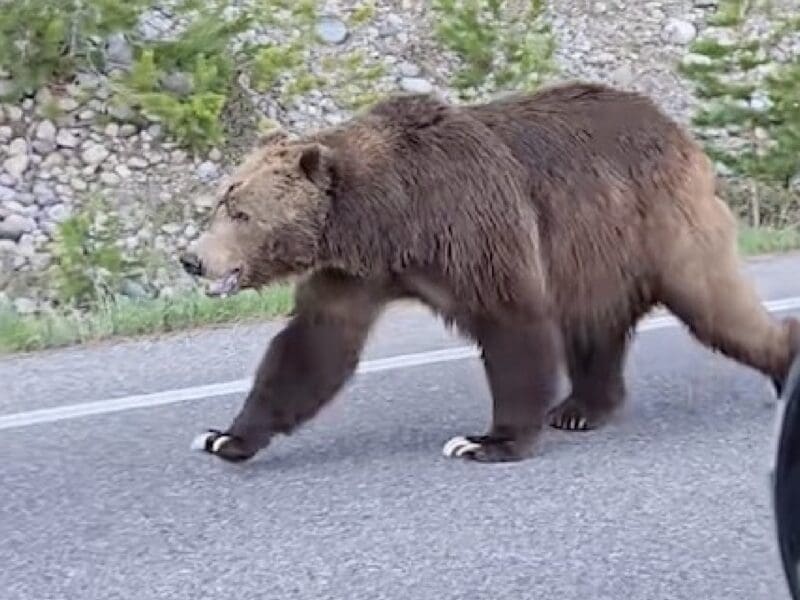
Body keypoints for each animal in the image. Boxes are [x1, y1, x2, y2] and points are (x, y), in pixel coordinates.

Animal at [180, 80, 800, 465]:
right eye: (221, 200)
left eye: (241, 211)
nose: (192, 258)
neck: (388, 220)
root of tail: (675, 128)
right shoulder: (353, 273)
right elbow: (313, 346)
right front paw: (225, 436)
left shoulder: (472, 227)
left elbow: (512, 322)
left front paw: (486, 441)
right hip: (597, 253)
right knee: (594, 325)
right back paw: (580, 409)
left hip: (660, 225)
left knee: (717, 305)